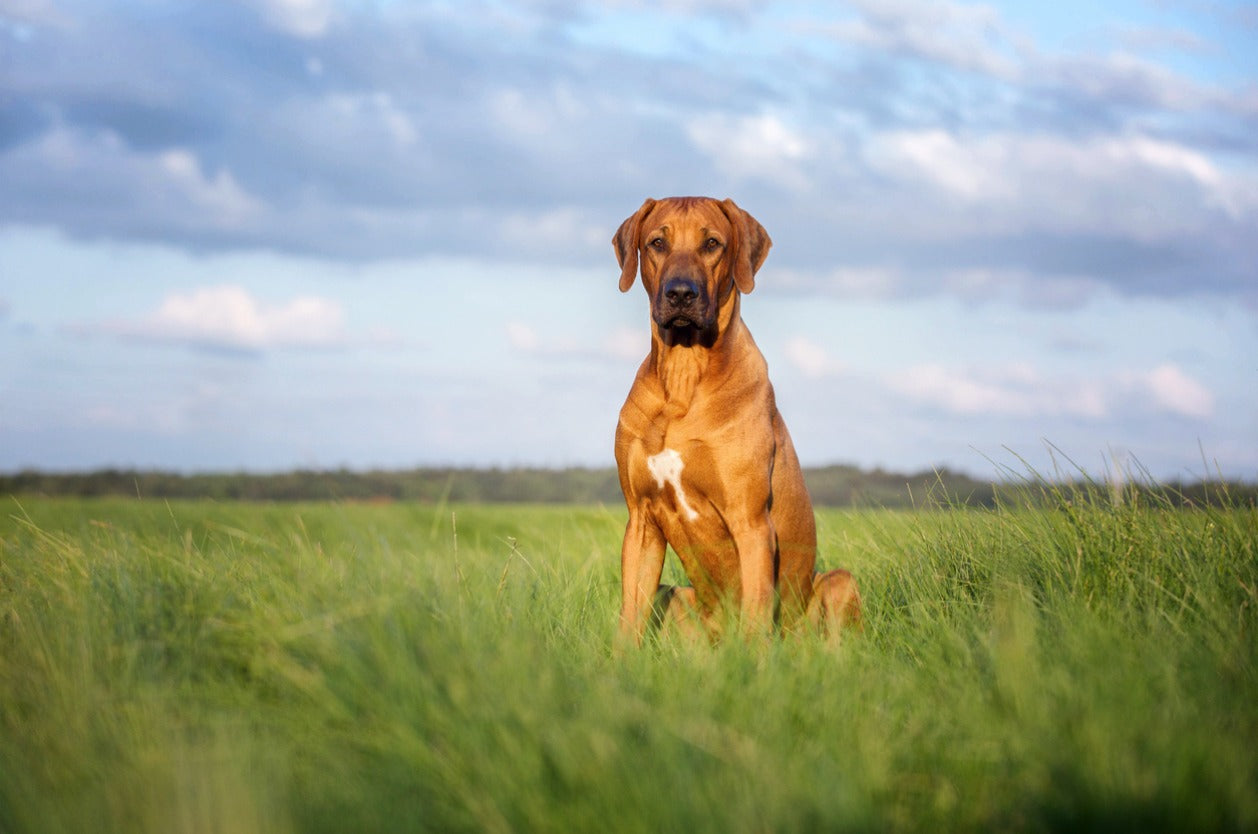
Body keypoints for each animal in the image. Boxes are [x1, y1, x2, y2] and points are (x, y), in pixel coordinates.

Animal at [611, 198, 865, 649]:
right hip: (674, 595)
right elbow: (629, 618)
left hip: (837, 584)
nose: (681, 293)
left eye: (712, 243)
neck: (683, 375)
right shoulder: (640, 519)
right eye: (657, 242)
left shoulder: (751, 523)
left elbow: (757, 616)